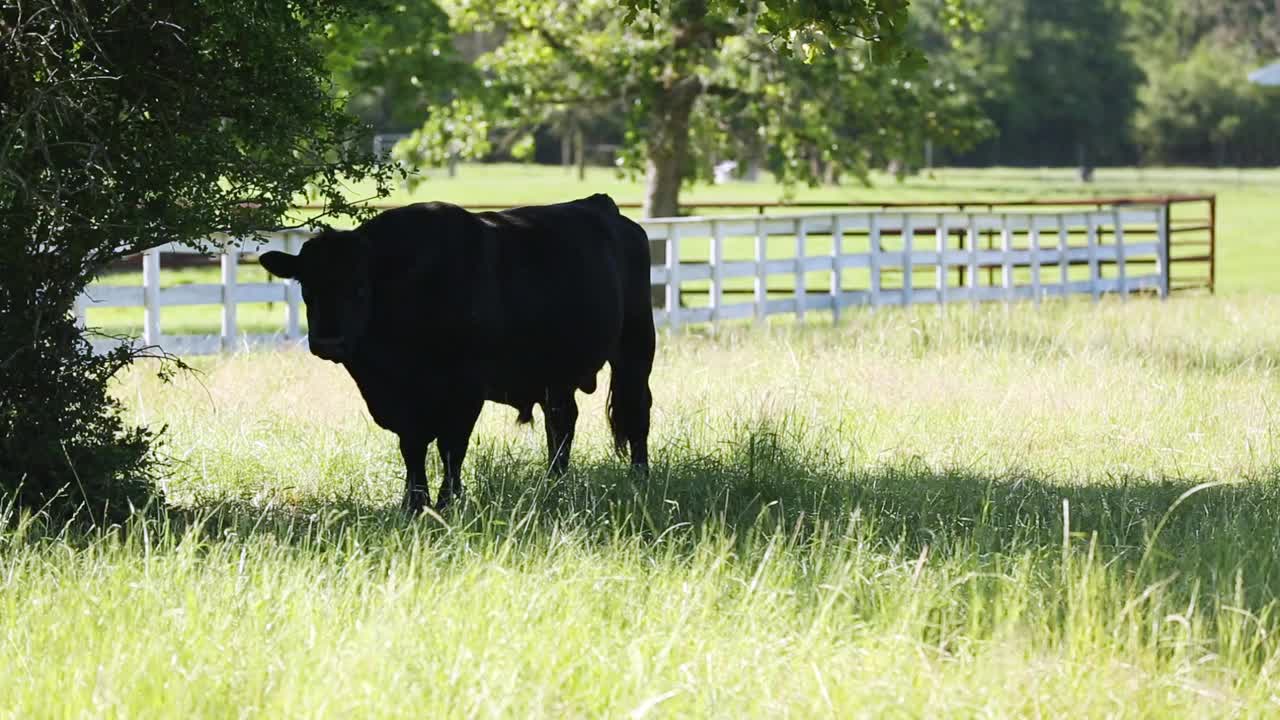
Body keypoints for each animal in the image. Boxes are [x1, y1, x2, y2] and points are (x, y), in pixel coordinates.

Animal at [262, 192, 660, 509]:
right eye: (306, 287)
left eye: (359, 286)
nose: (328, 341)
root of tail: (602, 205)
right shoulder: (400, 400)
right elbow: (413, 446)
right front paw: (413, 502)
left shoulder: (466, 389)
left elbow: (452, 446)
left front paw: (447, 500)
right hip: (556, 371)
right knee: (562, 421)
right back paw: (554, 481)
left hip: (636, 347)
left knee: (635, 409)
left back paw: (640, 476)